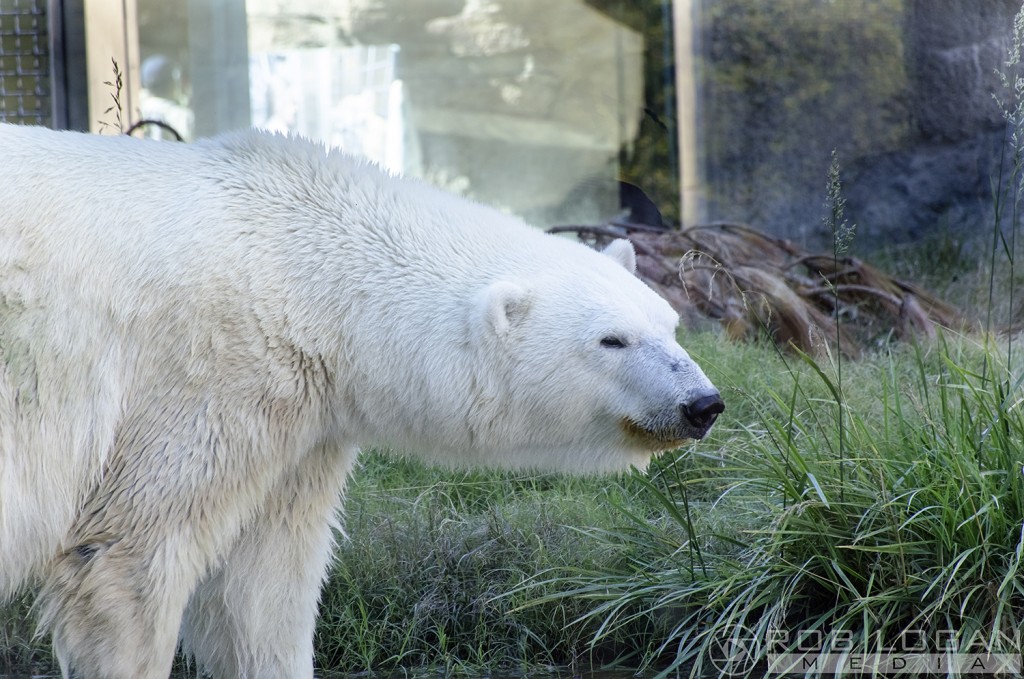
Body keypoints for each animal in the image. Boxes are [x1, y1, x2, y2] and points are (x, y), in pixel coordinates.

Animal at [0, 123, 720, 679]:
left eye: (668, 325)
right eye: (612, 339)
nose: (702, 403)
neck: (298, 265)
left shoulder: (301, 414)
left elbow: (262, 587)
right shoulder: (207, 370)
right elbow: (128, 552)